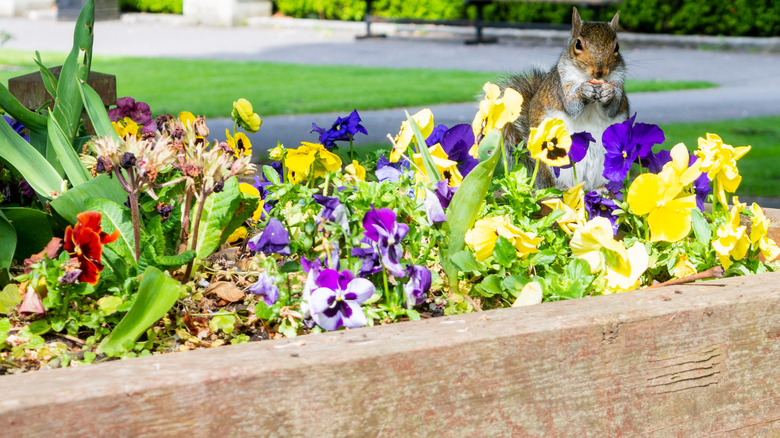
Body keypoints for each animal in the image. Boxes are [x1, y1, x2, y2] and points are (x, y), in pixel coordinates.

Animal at [500, 6, 632, 191]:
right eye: (578, 44)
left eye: (617, 46)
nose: (599, 72)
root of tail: (583, 185)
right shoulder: (561, 86)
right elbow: (571, 106)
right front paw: (584, 90)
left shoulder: (618, 82)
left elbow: (613, 109)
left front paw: (609, 93)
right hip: (552, 162)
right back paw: (563, 188)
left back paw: (601, 188)